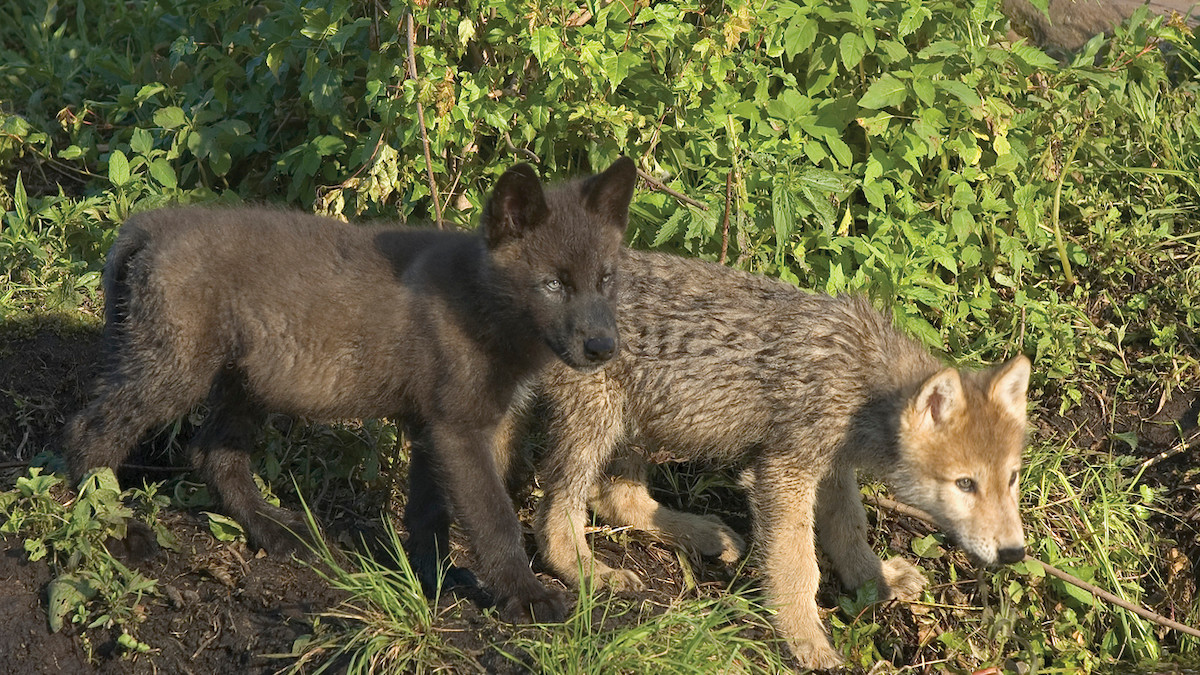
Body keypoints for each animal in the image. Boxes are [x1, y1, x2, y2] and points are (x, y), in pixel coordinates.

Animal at [65, 158, 638, 622]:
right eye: (553, 284)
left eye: (606, 280)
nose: (602, 347)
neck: (483, 303)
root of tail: (151, 224)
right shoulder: (458, 429)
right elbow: (495, 521)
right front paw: (526, 596)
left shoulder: (431, 428)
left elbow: (430, 515)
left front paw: (433, 580)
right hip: (176, 371)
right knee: (89, 430)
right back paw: (113, 527)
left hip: (245, 381)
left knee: (211, 454)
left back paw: (276, 531)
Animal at [532, 250, 1031, 668]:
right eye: (965, 484)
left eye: (1010, 480)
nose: (1014, 553)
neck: (861, 388)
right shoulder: (783, 473)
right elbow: (798, 567)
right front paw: (806, 640)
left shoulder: (832, 470)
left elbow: (850, 533)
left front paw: (877, 583)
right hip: (596, 427)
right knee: (558, 514)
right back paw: (591, 572)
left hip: (643, 424)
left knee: (614, 498)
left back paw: (705, 534)